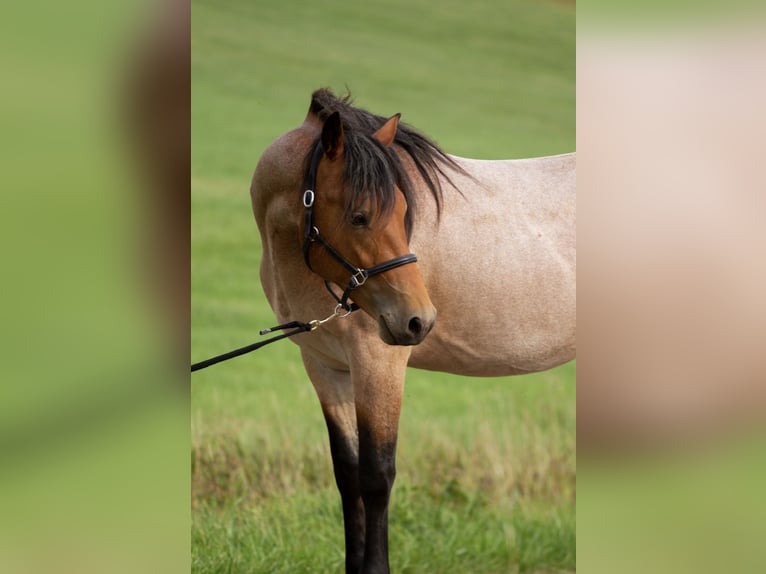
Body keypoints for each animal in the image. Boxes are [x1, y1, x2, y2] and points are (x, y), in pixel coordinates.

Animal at [250, 89, 575, 574]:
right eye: (360, 216)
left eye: (406, 211)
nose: (417, 319)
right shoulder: (326, 367)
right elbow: (348, 474)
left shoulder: (378, 361)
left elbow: (377, 475)